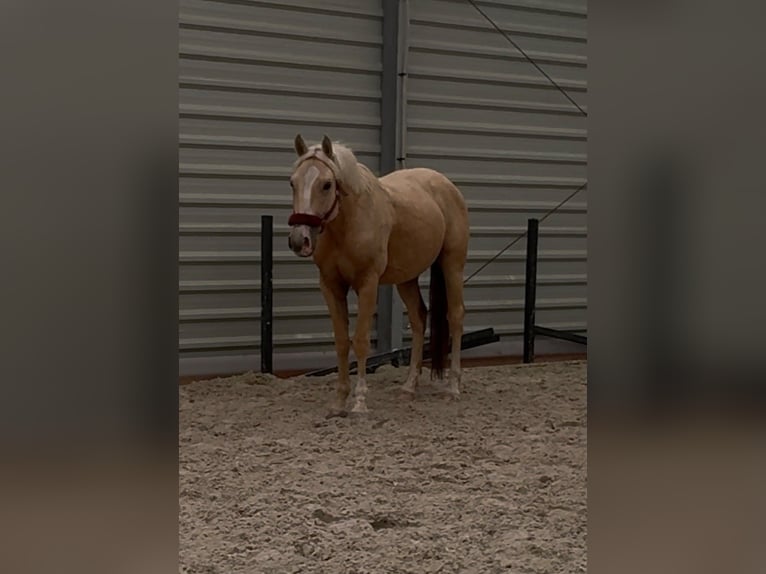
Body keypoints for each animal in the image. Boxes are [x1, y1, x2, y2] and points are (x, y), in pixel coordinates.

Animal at [287, 134, 469, 417]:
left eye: (327, 184)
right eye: (293, 182)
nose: (299, 240)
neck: (348, 223)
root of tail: (446, 185)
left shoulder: (368, 283)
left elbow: (361, 341)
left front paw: (360, 402)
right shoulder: (330, 286)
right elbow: (342, 342)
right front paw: (339, 402)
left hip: (453, 265)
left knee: (456, 316)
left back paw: (453, 389)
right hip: (407, 278)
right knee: (418, 319)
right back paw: (409, 388)